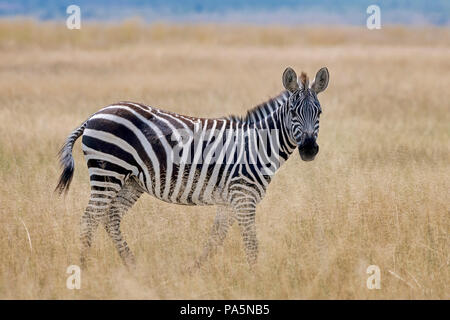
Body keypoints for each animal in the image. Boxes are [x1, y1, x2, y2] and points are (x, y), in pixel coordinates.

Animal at [56, 67, 328, 268]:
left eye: (319, 112)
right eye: (293, 111)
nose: (309, 149)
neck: (257, 145)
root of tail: (94, 115)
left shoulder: (230, 201)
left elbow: (215, 238)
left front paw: (194, 270)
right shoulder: (243, 197)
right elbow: (251, 243)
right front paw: (256, 276)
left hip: (130, 181)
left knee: (110, 217)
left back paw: (133, 267)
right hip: (107, 172)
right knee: (89, 219)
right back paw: (83, 269)